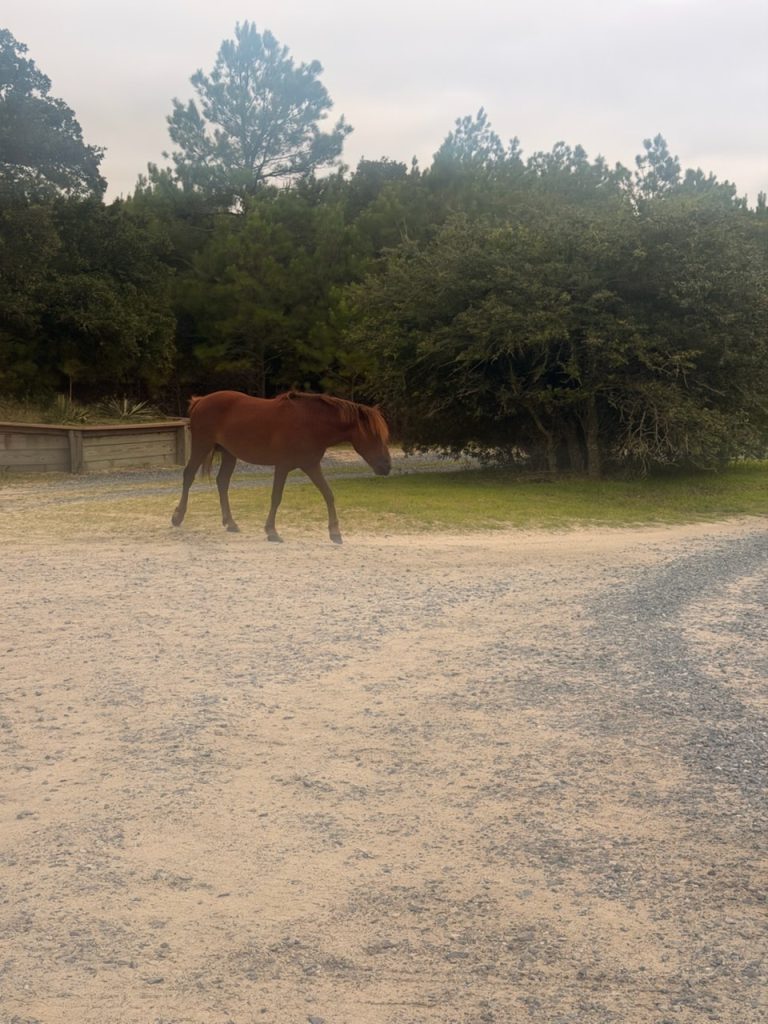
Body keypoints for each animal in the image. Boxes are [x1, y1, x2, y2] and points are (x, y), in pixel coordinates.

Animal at [171, 390, 391, 543]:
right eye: (374, 435)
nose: (387, 466)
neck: (310, 423)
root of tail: (200, 401)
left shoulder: (311, 465)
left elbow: (328, 494)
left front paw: (335, 533)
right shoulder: (283, 466)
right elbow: (276, 497)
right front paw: (272, 532)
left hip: (228, 453)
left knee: (222, 482)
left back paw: (231, 523)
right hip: (202, 446)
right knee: (188, 475)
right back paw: (177, 517)